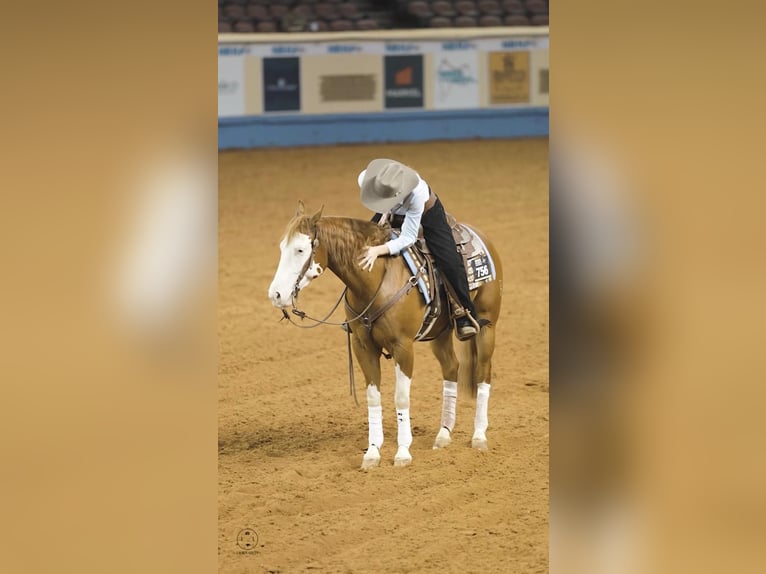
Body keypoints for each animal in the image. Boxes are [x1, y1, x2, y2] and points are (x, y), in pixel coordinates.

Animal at [268, 202, 503, 469]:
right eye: (282, 247)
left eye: (300, 249)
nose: (275, 294)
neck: (376, 280)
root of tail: (479, 234)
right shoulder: (363, 346)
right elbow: (373, 398)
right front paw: (372, 452)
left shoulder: (403, 347)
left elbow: (401, 398)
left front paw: (402, 452)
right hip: (439, 333)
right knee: (451, 368)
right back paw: (443, 433)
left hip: (487, 325)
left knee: (483, 372)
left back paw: (479, 436)